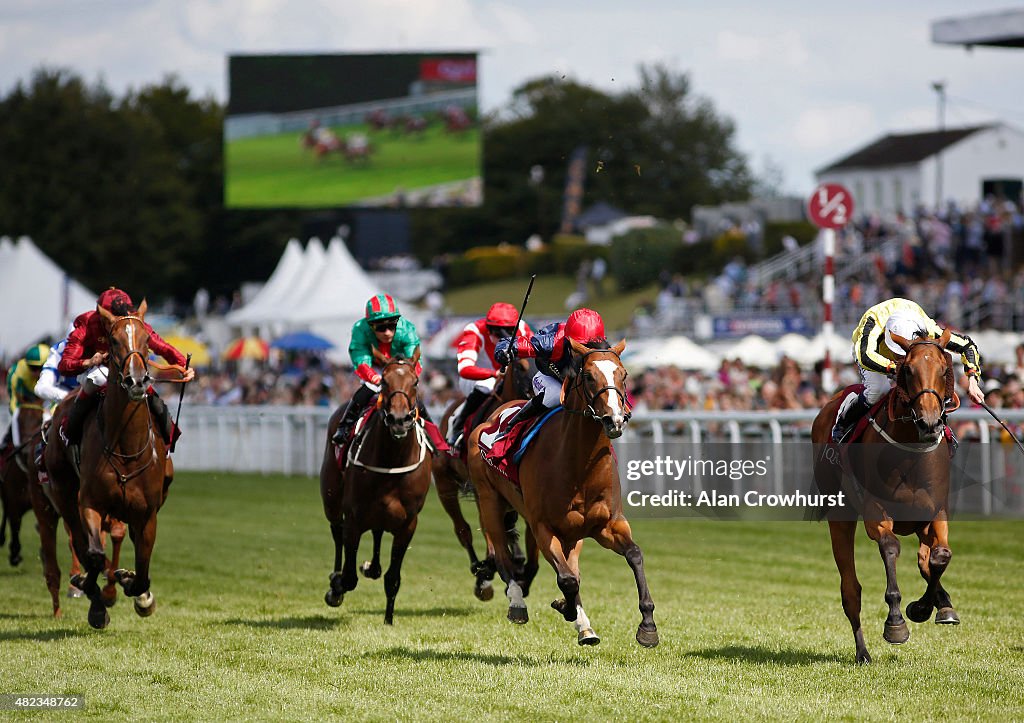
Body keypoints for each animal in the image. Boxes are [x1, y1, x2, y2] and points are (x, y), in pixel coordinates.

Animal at [44, 299, 178, 626]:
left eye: (147, 339)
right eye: (114, 340)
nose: (137, 380)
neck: (127, 448)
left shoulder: (148, 513)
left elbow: (142, 569)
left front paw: (137, 591)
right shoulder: (90, 502)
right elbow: (92, 553)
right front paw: (97, 595)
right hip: (62, 492)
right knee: (80, 542)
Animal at [319, 348, 432, 618]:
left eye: (415, 382)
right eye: (383, 382)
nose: (399, 420)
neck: (392, 460)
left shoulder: (408, 523)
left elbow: (393, 579)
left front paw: (389, 619)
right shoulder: (354, 517)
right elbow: (349, 576)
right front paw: (337, 585)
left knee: (378, 532)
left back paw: (372, 567)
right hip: (331, 497)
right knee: (336, 530)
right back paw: (336, 581)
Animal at [430, 358, 536, 598]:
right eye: (520, 366)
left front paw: (517, 564)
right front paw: (492, 567)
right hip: (444, 484)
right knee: (463, 529)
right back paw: (480, 570)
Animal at [468, 337, 659, 647]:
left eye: (624, 374)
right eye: (589, 376)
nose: (615, 419)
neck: (579, 464)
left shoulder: (607, 525)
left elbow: (634, 555)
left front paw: (647, 625)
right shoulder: (544, 527)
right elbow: (567, 579)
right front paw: (565, 608)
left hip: (570, 532)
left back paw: (583, 624)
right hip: (489, 501)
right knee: (502, 555)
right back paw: (517, 602)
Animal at [815, 329, 958, 663]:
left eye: (944, 370)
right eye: (908, 370)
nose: (929, 422)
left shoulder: (935, 511)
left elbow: (939, 556)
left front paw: (927, 606)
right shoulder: (875, 512)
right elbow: (891, 548)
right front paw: (896, 623)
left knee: (925, 559)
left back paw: (942, 603)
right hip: (840, 515)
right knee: (850, 590)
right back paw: (862, 653)